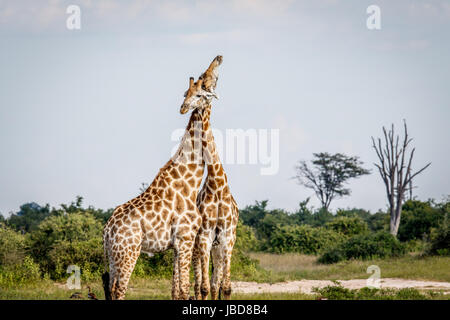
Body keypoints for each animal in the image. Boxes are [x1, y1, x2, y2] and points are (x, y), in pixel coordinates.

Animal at [104, 70, 220, 300]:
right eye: (187, 93)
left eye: (200, 93)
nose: (183, 107)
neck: (190, 182)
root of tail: (107, 230)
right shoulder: (185, 239)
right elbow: (184, 289)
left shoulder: (176, 245)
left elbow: (175, 290)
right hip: (129, 252)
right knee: (119, 290)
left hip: (114, 256)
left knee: (111, 288)